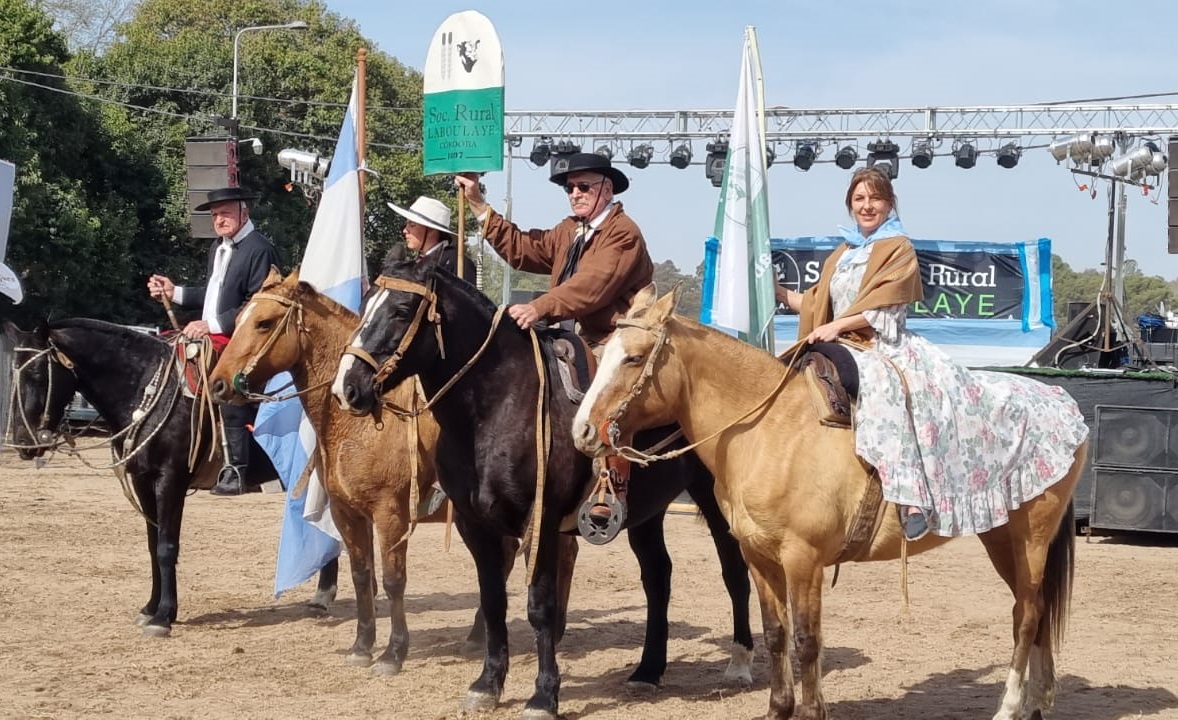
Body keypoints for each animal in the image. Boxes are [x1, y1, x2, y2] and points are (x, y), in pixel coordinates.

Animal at [4, 320, 339, 636]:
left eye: (38, 374)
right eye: (14, 375)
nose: (23, 443)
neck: (146, 386)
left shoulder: (170, 480)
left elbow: (167, 547)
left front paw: (164, 615)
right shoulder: (144, 480)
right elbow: (153, 545)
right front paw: (151, 607)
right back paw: (323, 595)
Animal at [208, 268, 546, 674]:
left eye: (264, 323)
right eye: (240, 319)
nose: (218, 383)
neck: (357, 424)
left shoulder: (390, 516)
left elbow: (392, 580)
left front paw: (393, 652)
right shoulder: (347, 513)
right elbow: (361, 575)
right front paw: (362, 645)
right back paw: (478, 635)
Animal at [332, 256, 753, 716]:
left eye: (402, 309)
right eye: (366, 303)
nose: (347, 387)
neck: (495, 408)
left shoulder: (541, 523)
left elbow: (540, 606)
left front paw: (543, 695)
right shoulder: (475, 526)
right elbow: (493, 602)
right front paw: (488, 684)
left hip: (715, 503)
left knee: (734, 573)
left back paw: (740, 662)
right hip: (646, 514)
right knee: (658, 576)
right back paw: (647, 670)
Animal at [570, 286, 1083, 720]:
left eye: (634, 358)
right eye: (601, 352)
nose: (583, 430)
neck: (770, 430)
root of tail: (1061, 400)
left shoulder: (804, 558)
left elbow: (806, 640)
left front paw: (811, 711)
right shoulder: (758, 556)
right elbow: (776, 634)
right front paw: (778, 709)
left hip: (1031, 539)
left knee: (1026, 618)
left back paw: (1010, 708)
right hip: (1001, 538)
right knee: (1034, 612)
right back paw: (1037, 704)